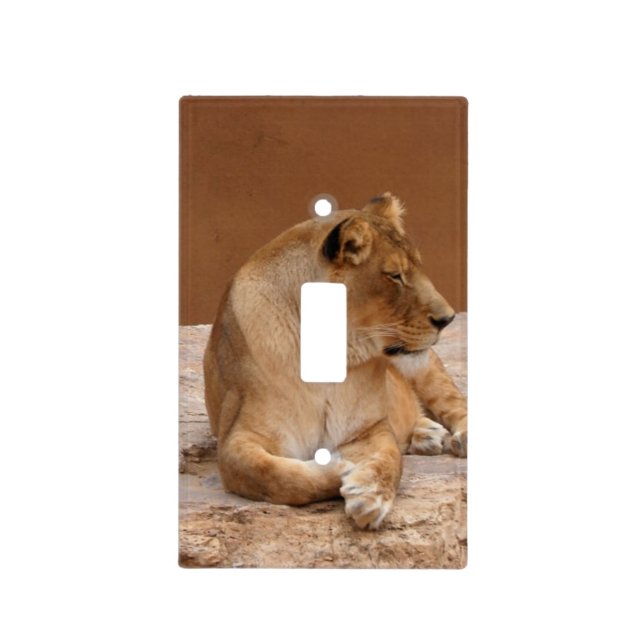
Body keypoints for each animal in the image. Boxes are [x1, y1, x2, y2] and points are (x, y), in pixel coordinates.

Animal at [203, 193, 467, 529]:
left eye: (418, 268)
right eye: (395, 276)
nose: (448, 319)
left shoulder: (368, 427)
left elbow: (390, 459)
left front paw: (371, 496)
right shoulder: (237, 438)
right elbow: (275, 477)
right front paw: (341, 468)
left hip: (426, 369)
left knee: (455, 402)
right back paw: (427, 434)